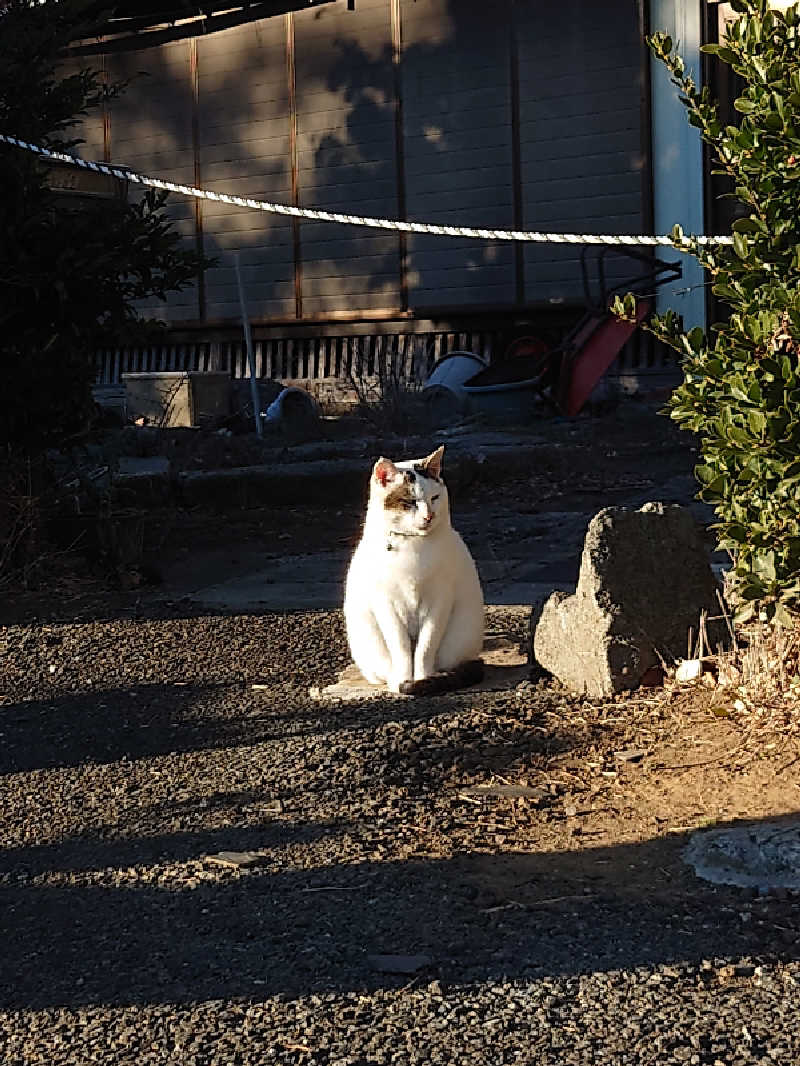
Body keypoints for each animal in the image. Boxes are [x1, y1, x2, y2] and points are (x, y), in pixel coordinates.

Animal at [343, 445, 486, 695]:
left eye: (434, 498)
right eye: (409, 502)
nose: (429, 516)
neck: (413, 545)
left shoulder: (439, 601)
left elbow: (425, 646)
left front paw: (422, 678)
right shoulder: (386, 603)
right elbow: (400, 647)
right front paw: (402, 680)